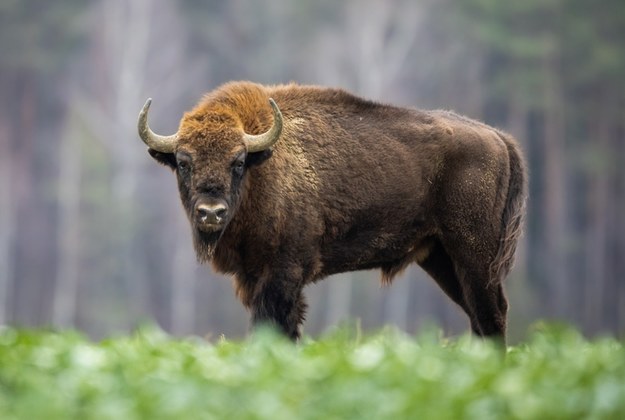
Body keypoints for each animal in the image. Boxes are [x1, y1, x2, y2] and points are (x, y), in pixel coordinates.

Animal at [138, 81, 528, 342]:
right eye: (184, 162)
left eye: (237, 162)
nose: (211, 212)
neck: (262, 166)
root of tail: (499, 138)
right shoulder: (253, 276)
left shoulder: (283, 273)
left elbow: (277, 326)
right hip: (441, 258)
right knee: (477, 314)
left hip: (474, 254)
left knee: (492, 312)